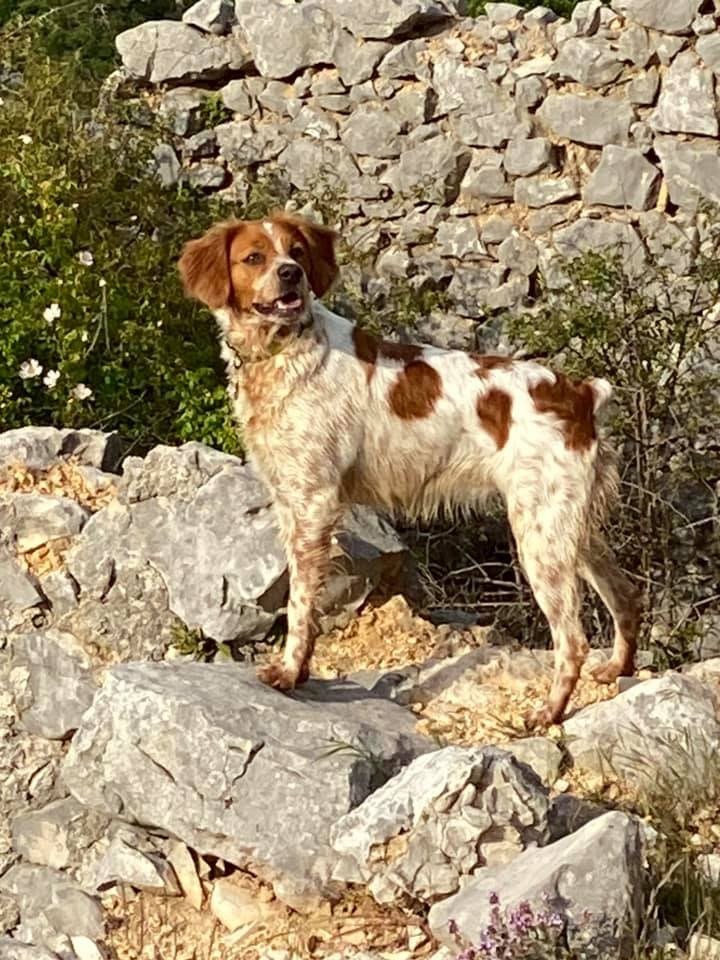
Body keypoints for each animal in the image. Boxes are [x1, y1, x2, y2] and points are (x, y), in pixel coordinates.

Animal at [177, 212, 640, 728]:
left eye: (296, 252)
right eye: (255, 257)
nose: (290, 274)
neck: (286, 349)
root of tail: (580, 393)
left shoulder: (315, 502)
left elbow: (300, 603)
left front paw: (291, 672)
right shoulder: (289, 499)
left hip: (542, 537)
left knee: (573, 639)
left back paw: (549, 712)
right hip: (572, 530)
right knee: (626, 595)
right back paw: (616, 668)